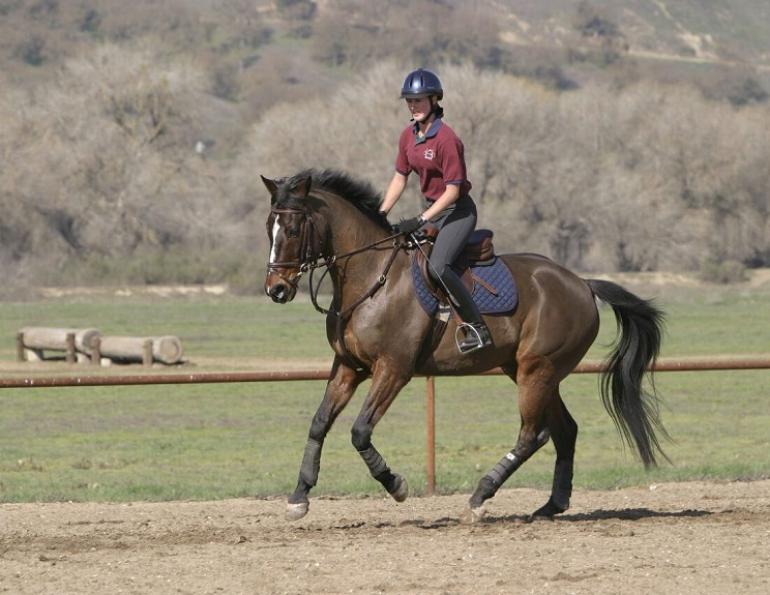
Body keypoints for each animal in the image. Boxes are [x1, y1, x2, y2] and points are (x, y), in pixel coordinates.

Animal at [262, 168, 667, 523]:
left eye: (293, 229)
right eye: (270, 228)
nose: (276, 289)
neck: (372, 278)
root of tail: (582, 283)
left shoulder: (393, 369)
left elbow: (360, 431)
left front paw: (396, 484)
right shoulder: (348, 367)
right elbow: (319, 423)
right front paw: (299, 497)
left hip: (537, 370)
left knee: (532, 434)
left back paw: (479, 497)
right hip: (530, 371)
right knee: (564, 430)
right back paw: (551, 505)